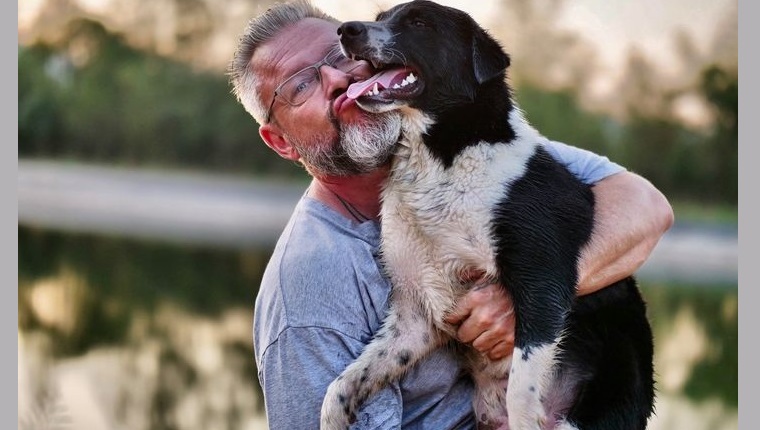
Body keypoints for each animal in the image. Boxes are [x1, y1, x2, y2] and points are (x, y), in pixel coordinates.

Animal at [320, 1, 652, 428]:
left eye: (420, 23)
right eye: (381, 17)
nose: (346, 29)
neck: (444, 158)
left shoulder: (542, 280)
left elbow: (522, 394)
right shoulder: (416, 313)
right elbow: (343, 384)